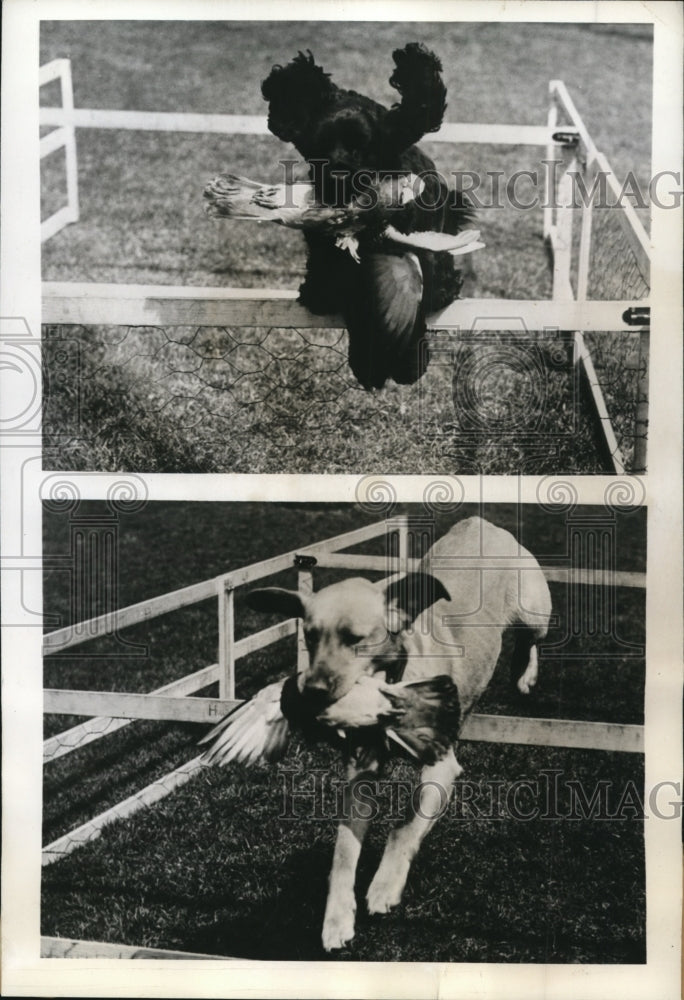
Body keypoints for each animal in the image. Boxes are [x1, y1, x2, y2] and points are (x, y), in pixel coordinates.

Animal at [244, 520, 552, 948]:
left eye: (355, 639)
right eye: (309, 637)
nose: (311, 691)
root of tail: (479, 523)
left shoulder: (442, 766)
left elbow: (405, 825)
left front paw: (384, 885)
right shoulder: (359, 775)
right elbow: (344, 851)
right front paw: (337, 918)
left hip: (535, 609)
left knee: (531, 639)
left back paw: (525, 672)